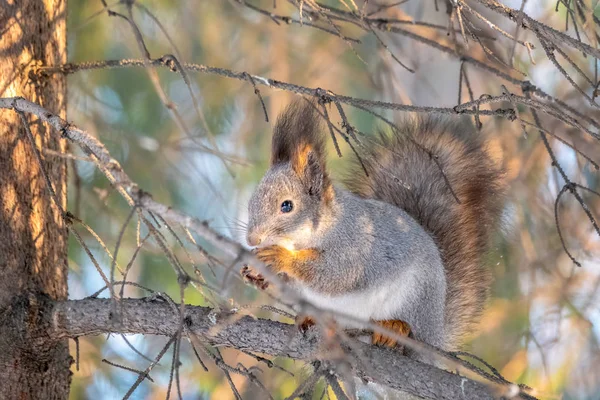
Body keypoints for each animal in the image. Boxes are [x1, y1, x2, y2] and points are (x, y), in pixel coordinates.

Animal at [243, 100, 502, 354]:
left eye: (287, 206)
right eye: (251, 201)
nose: (252, 240)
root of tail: (436, 334)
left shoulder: (353, 246)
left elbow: (334, 274)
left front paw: (281, 257)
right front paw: (254, 273)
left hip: (415, 298)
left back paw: (396, 327)